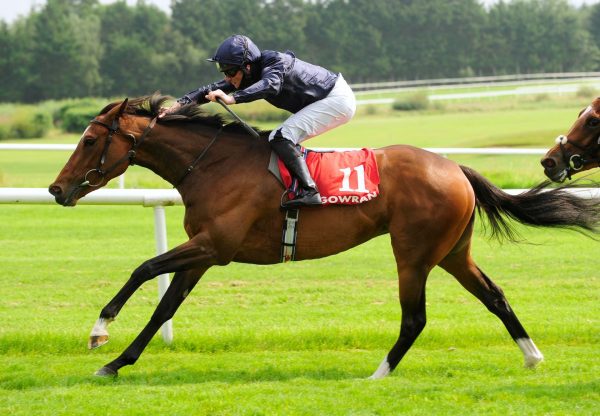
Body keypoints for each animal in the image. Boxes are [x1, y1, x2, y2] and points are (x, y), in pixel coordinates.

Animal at [48, 96, 600, 378]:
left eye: (90, 140)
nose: (56, 189)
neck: (212, 165)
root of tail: (454, 168)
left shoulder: (215, 247)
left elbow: (142, 268)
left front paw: (99, 331)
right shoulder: (203, 253)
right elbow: (165, 306)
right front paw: (117, 361)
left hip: (413, 252)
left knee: (415, 317)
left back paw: (378, 374)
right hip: (452, 253)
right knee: (494, 295)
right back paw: (532, 355)